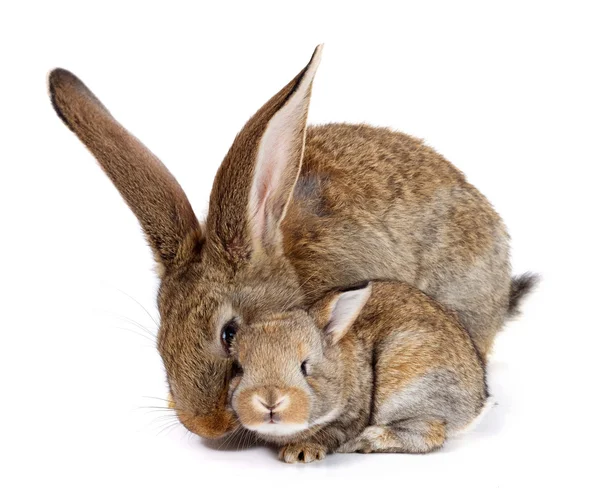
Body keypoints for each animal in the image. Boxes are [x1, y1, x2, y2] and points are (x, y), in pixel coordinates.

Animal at [229, 282, 488, 464]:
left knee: (430, 433)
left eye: (305, 366)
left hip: (404, 385)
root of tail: (478, 402)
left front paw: (300, 452)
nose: (270, 401)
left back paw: (365, 441)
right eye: (239, 368)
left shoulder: (350, 417)